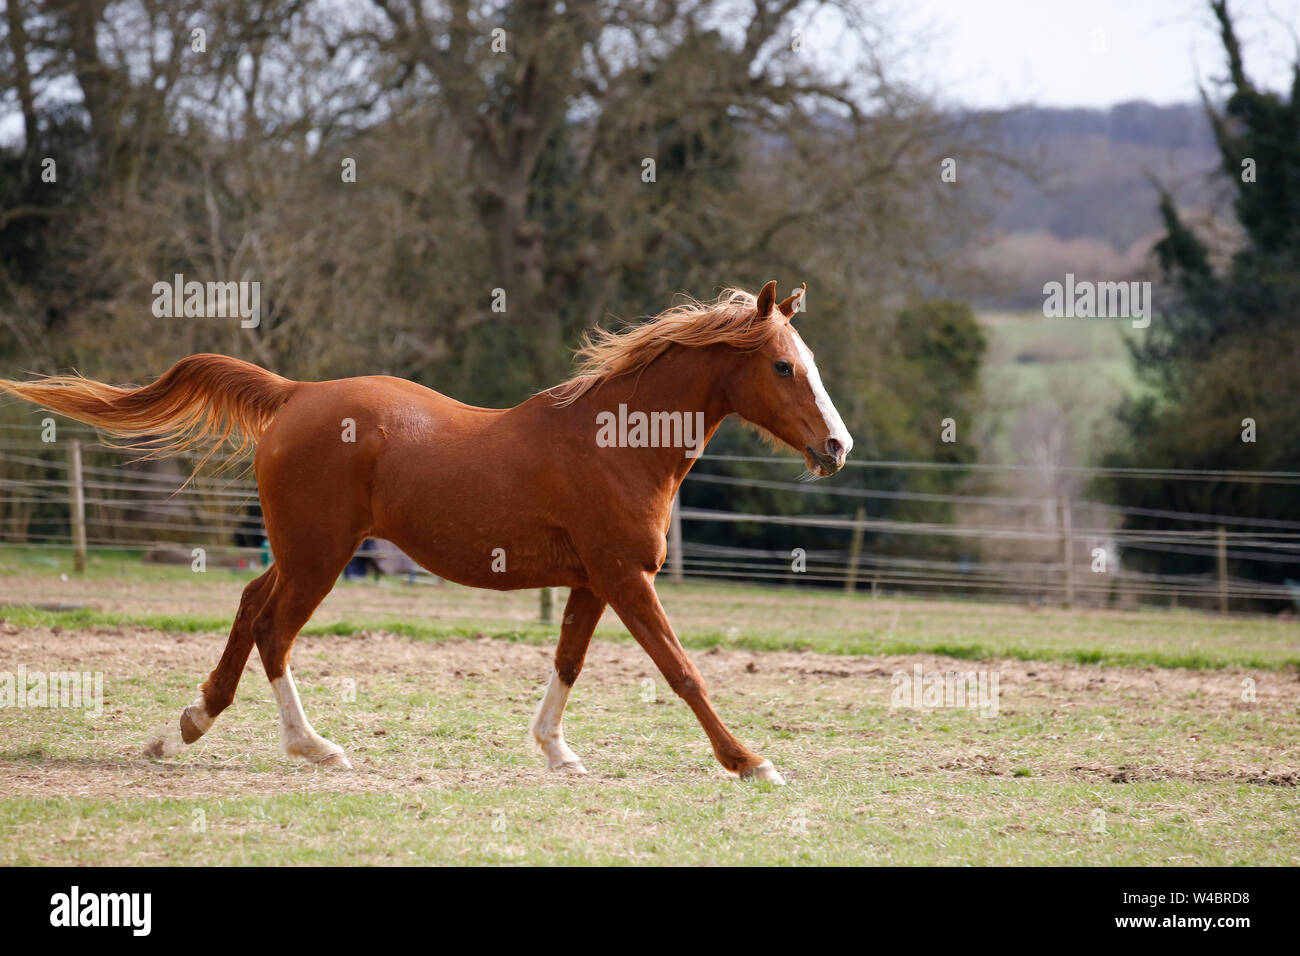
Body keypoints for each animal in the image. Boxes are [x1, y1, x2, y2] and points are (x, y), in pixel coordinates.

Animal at [0, 280, 852, 784]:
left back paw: (186, 726)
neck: (617, 443)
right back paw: (313, 746)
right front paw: (751, 762)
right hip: (320, 556)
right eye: (782, 366)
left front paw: (557, 751)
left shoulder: (591, 582)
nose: (837, 447)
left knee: (248, 607)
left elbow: (568, 663)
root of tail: (296, 393)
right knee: (275, 630)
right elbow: (682, 671)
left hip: (301, 551)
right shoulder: (624, 577)